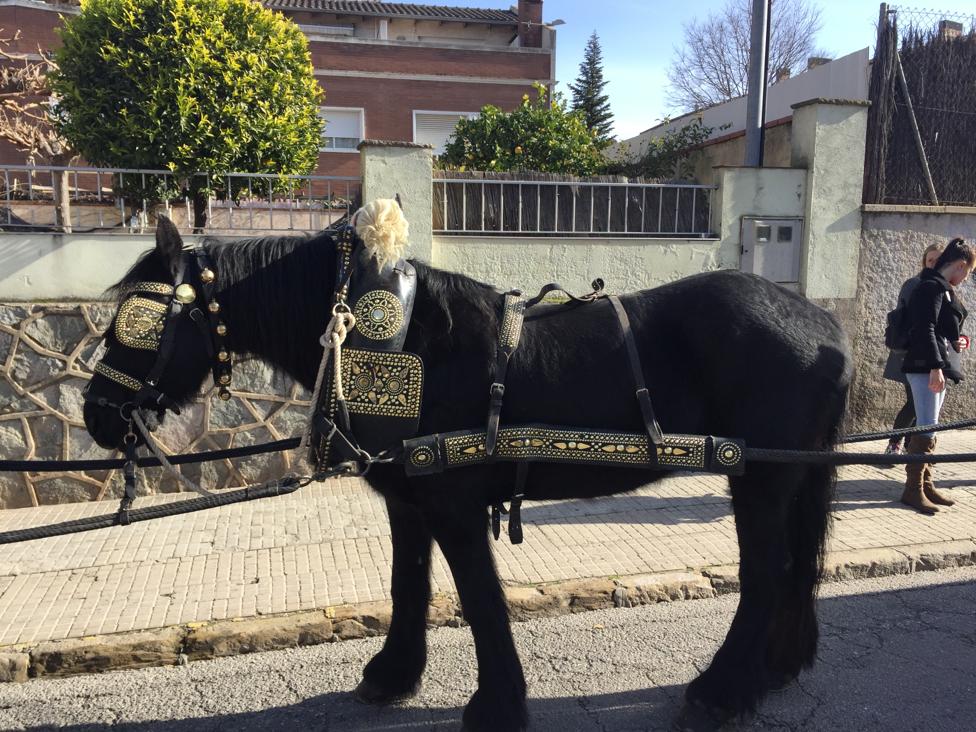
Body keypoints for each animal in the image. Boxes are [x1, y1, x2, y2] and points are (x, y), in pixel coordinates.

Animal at [84, 219, 852, 732]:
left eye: (135, 321)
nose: (95, 415)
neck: (400, 342)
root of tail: (824, 326)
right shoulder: (406, 498)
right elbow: (410, 584)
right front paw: (393, 675)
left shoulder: (452, 504)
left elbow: (480, 597)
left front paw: (497, 703)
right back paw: (775, 666)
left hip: (758, 478)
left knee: (767, 572)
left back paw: (723, 690)